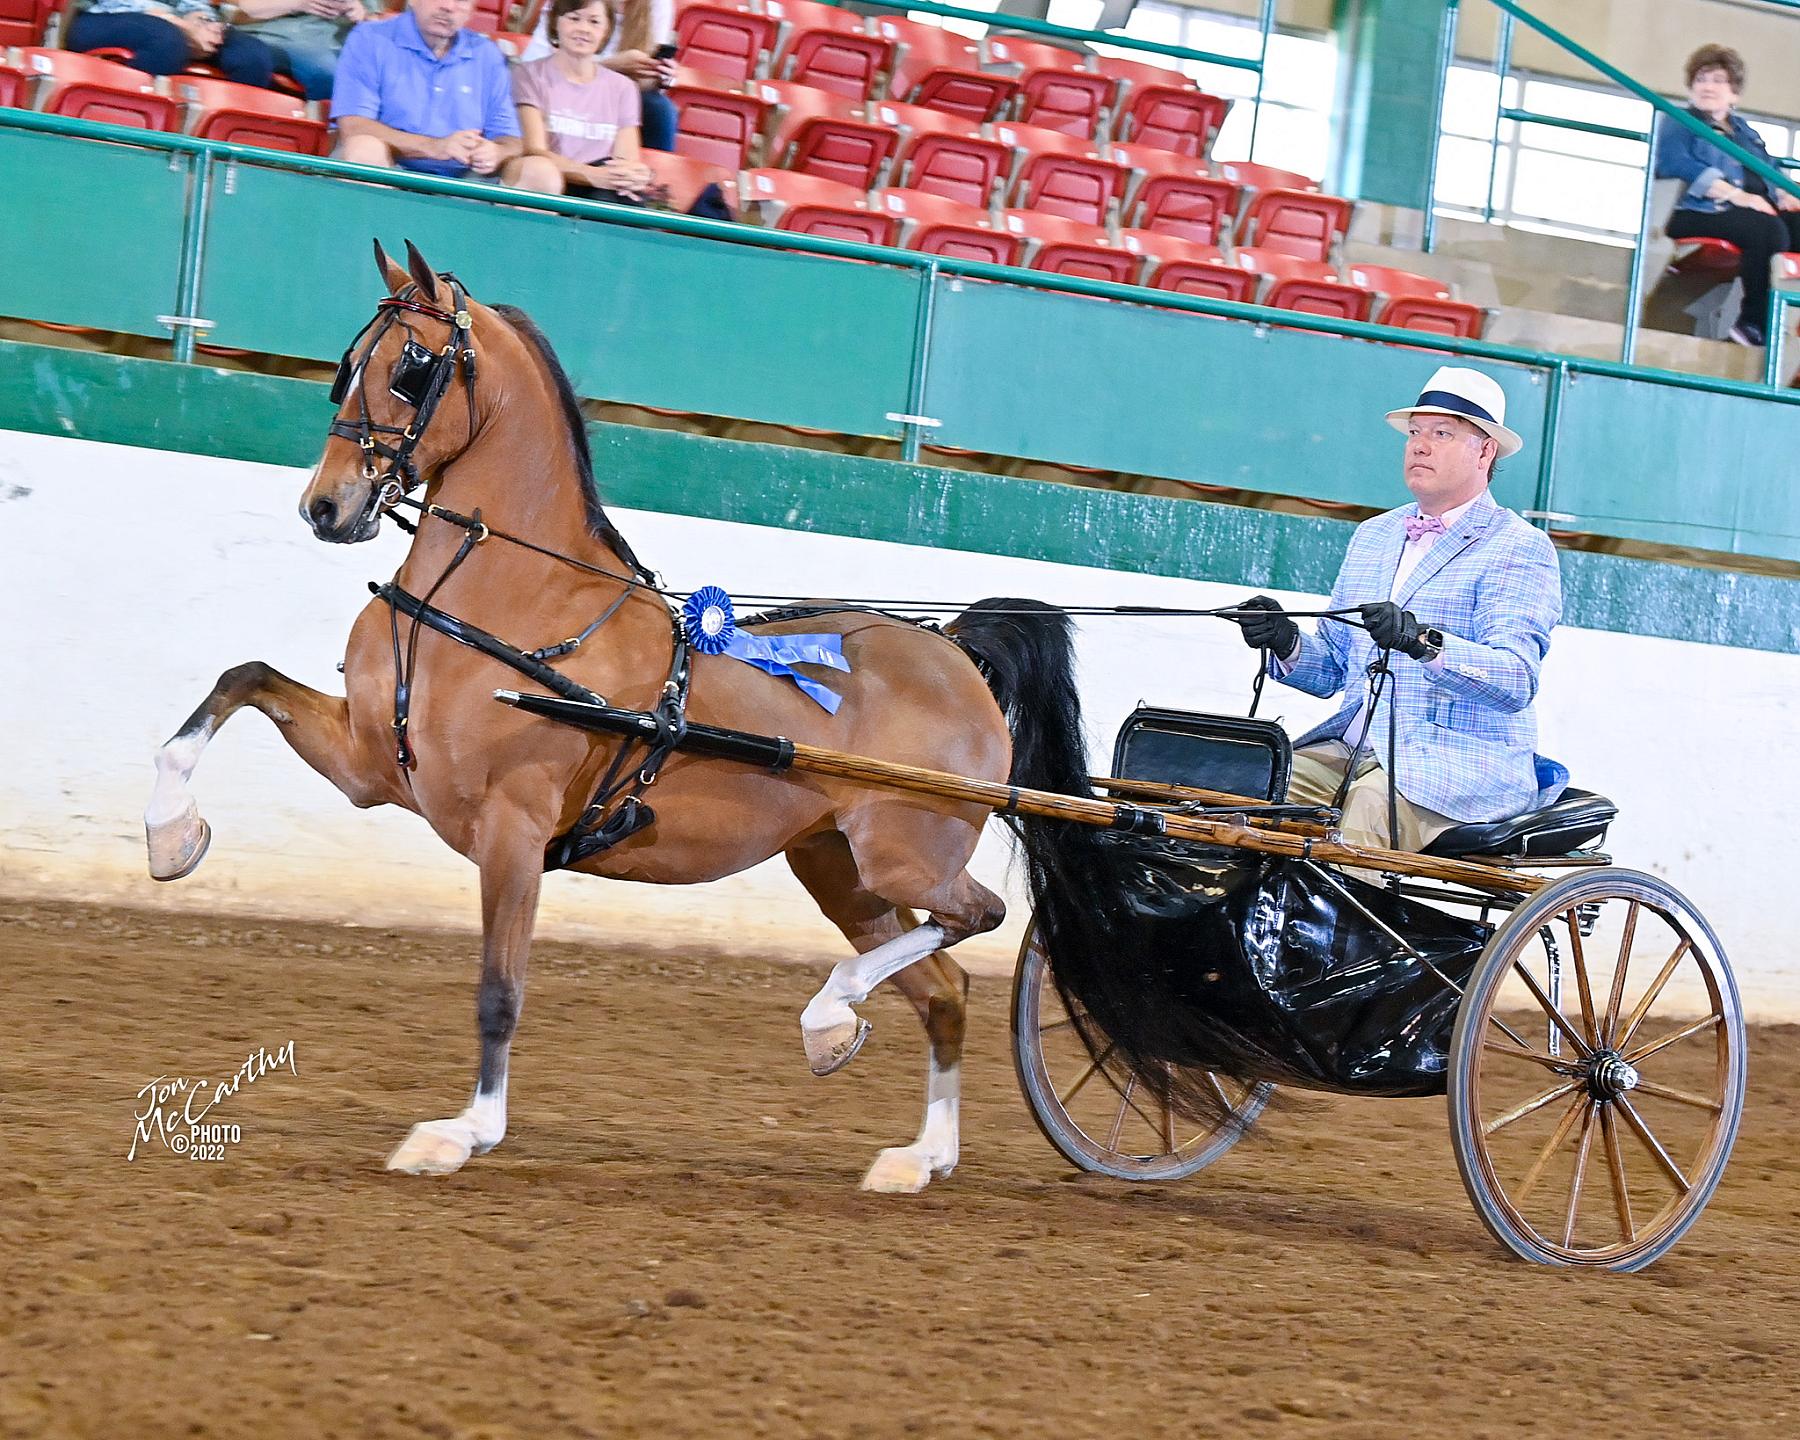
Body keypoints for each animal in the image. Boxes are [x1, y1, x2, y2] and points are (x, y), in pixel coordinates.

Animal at [142, 241, 1091, 1192]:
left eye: (412, 367)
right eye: (348, 362)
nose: (327, 508)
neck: (506, 601)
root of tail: (950, 649)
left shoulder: (514, 828)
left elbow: (500, 990)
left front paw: (464, 1132)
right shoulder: (372, 767)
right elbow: (239, 681)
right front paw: (170, 836)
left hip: (905, 856)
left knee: (977, 919)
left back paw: (833, 1013)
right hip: (839, 870)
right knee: (946, 989)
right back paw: (917, 1149)